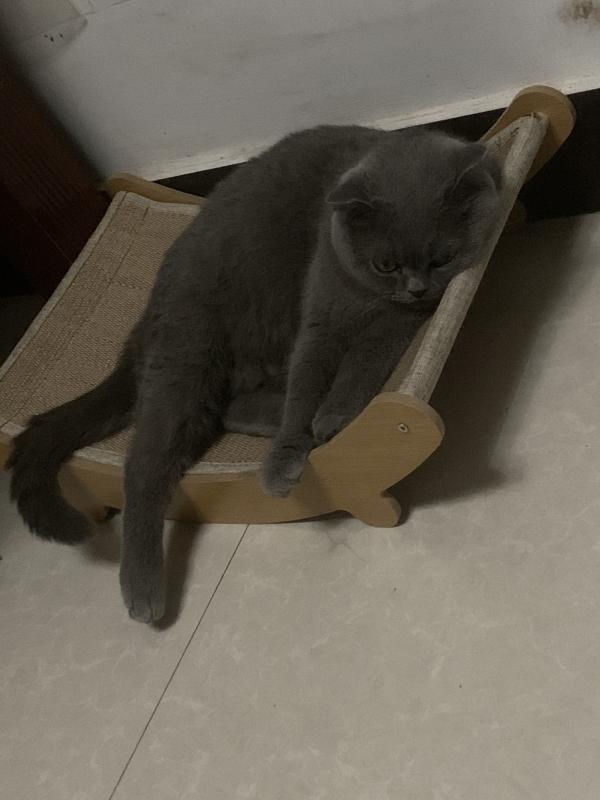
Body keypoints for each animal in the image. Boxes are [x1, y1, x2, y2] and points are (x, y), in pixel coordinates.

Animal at [8, 124, 502, 623]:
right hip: (189, 357)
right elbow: (308, 384)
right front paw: (289, 456)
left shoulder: (397, 322)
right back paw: (143, 591)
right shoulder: (320, 318)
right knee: (145, 463)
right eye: (386, 263)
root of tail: (145, 322)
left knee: (227, 411)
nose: (417, 287)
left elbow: (363, 361)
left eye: (441, 259)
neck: (364, 300)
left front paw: (333, 417)